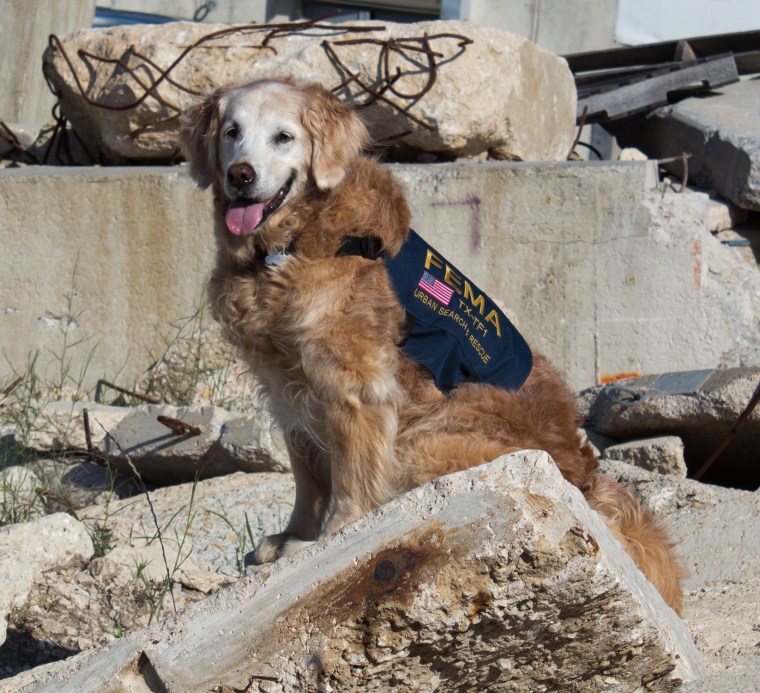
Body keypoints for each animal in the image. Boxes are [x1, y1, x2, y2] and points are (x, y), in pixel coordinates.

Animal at [181, 79, 684, 612]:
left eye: (283, 137)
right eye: (232, 132)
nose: (240, 175)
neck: (290, 244)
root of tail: (587, 480)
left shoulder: (356, 387)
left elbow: (351, 479)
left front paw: (326, 542)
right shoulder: (287, 388)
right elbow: (308, 480)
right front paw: (291, 538)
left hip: (424, 441)